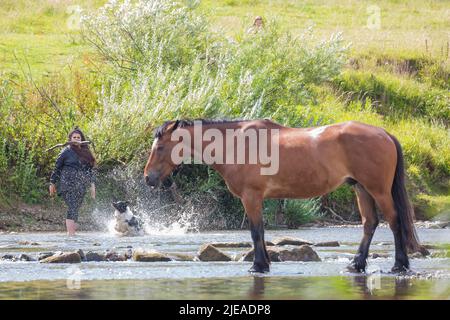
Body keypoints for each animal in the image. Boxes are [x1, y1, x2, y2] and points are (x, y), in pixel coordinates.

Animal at [143, 119, 426, 272]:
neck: (236, 143)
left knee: (394, 221)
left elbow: (256, 232)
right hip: (361, 189)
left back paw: (399, 264)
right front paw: (264, 263)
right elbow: (261, 232)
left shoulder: (251, 197)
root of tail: (384, 133)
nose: (148, 178)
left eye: (160, 147)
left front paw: (258, 265)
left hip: (378, 190)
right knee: (370, 223)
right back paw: (356, 264)